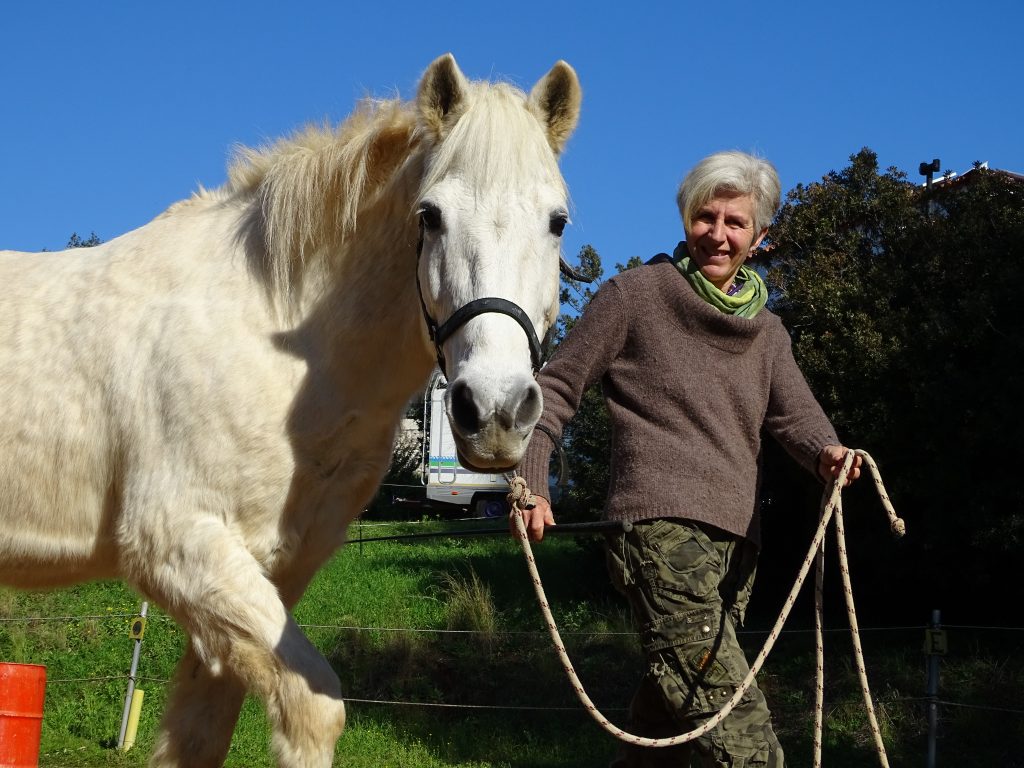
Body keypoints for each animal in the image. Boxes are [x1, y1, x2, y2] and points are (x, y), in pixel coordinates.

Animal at [0, 55, 581, 768]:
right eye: (431, 215)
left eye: (557, 222)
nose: (495, 410)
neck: (265, 336)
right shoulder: (177, 545)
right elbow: (314, 709)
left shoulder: (264, 576)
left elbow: (201, 736)